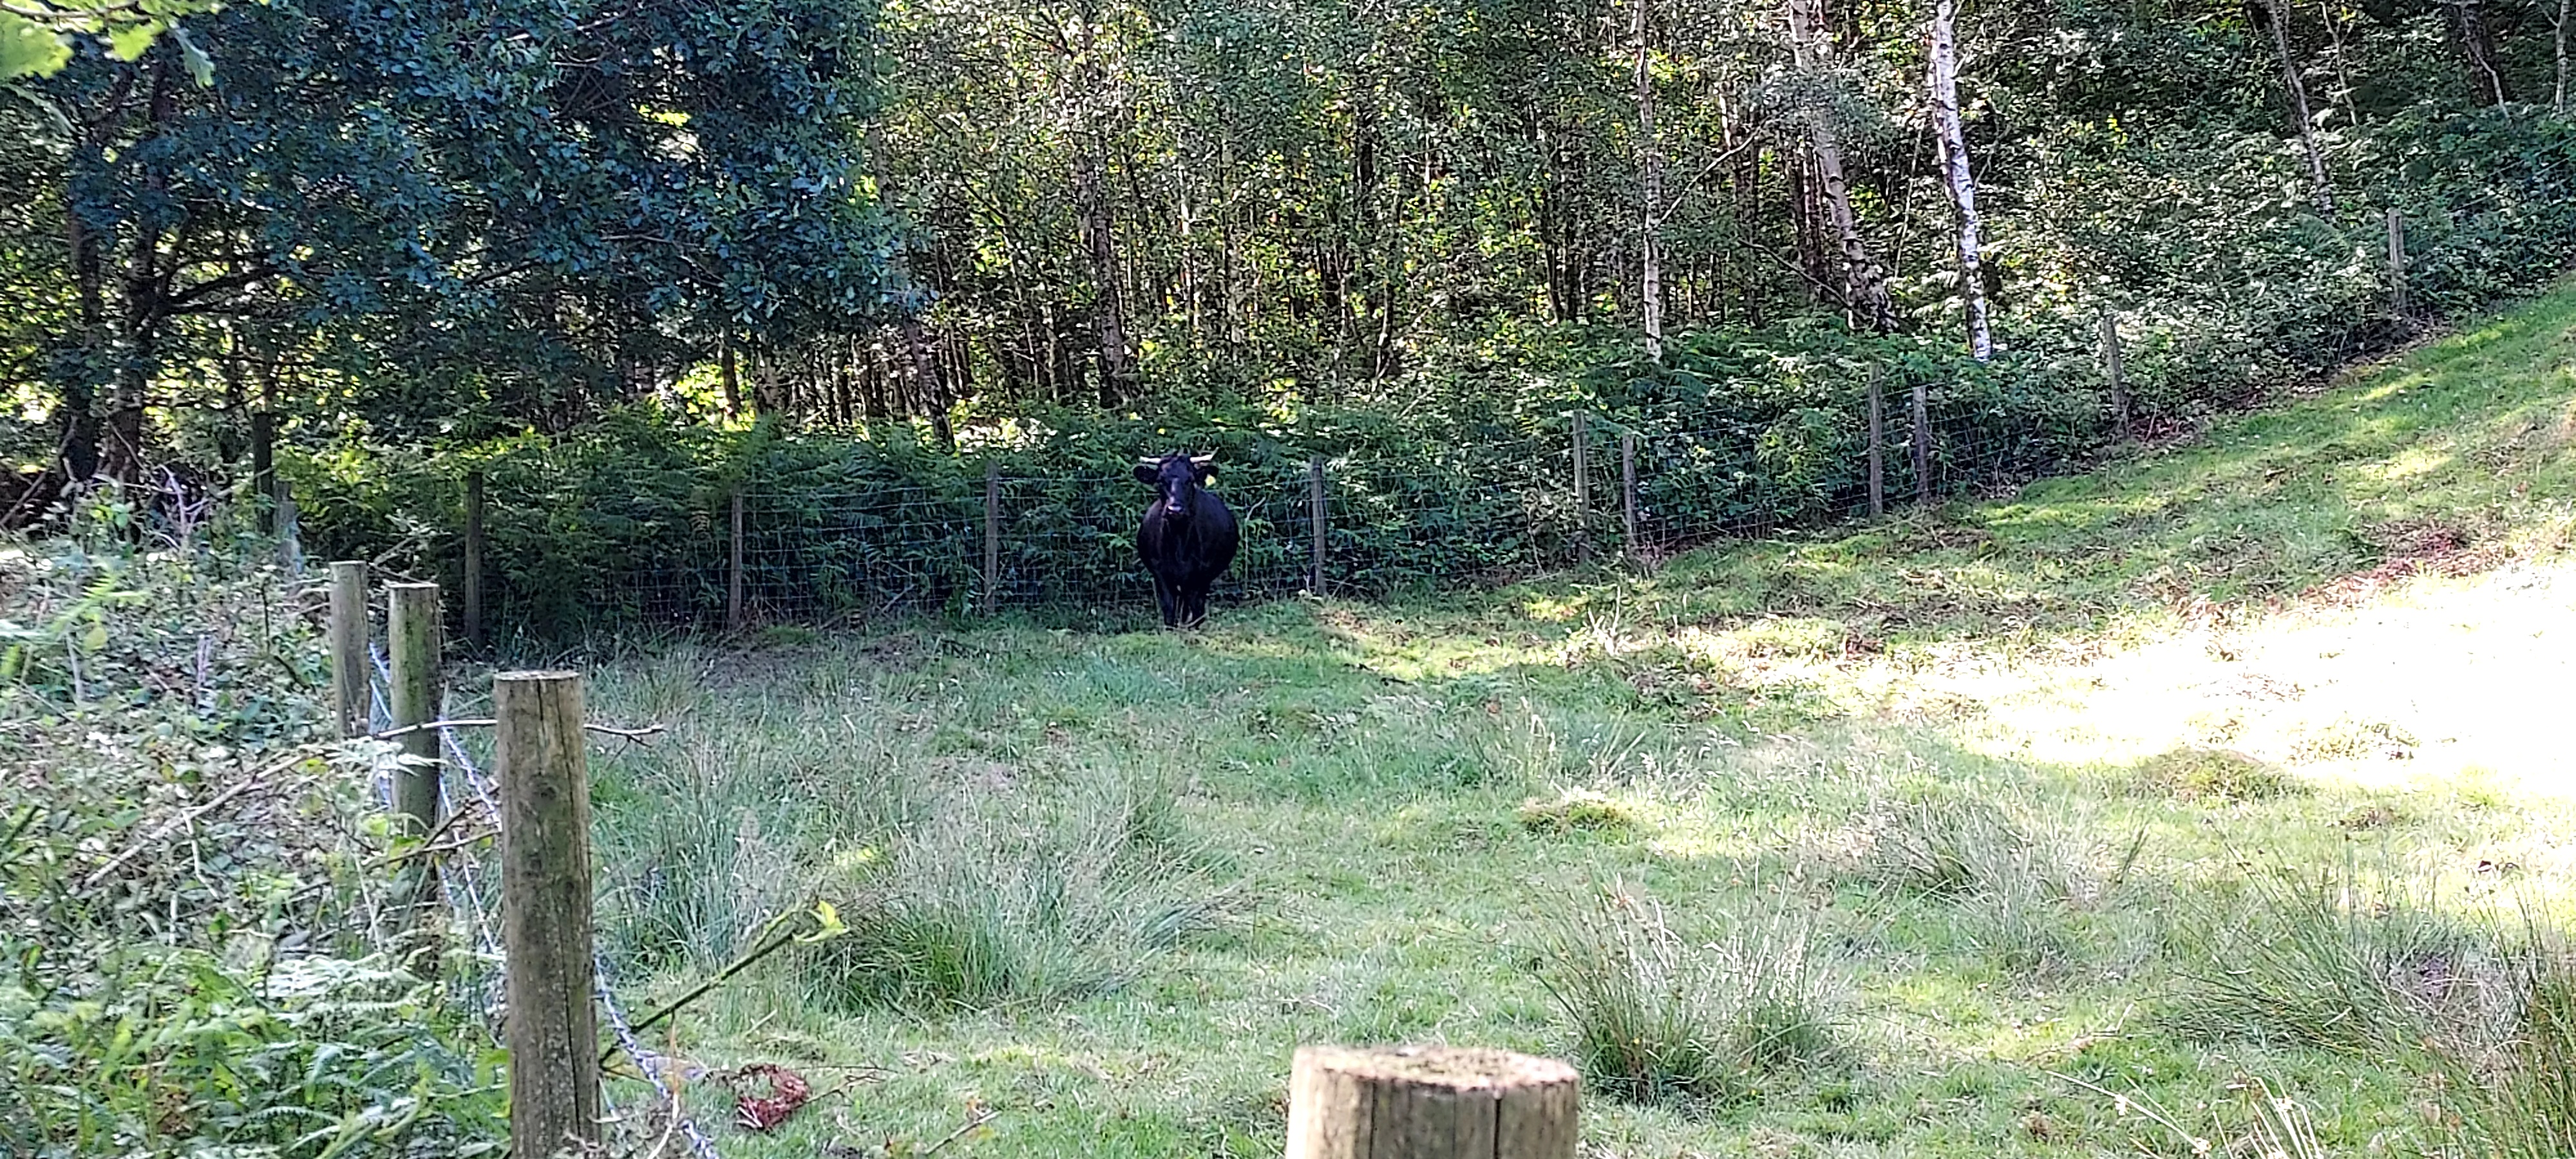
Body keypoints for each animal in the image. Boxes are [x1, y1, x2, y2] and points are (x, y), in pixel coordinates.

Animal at [1133, 452, 1240, 628]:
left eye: (1190, 480)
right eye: (1161, 480)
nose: (1175, 509)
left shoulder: (1201, 574)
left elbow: (1197, 608)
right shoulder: (1160, 573)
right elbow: (1169, 606)